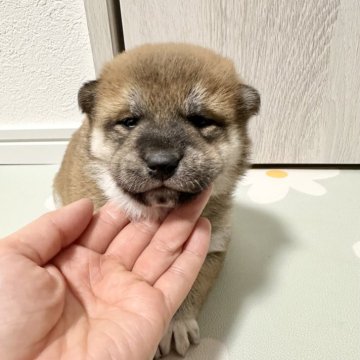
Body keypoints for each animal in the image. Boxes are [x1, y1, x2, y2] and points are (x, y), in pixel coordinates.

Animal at [53, 43, 258, 358]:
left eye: (201, 121)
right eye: (129, 121)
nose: (162, 163)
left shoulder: (214, 248)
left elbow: (191, 286)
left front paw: (176, 322)